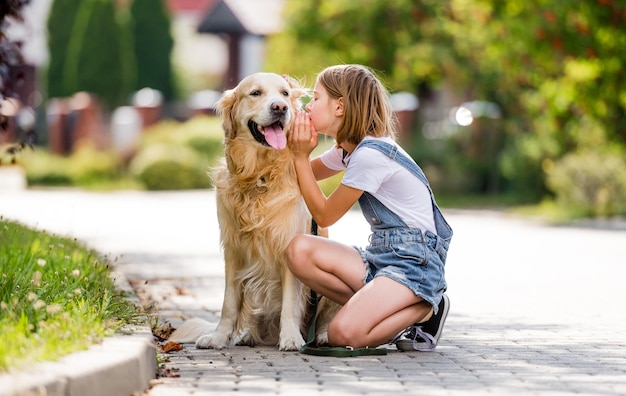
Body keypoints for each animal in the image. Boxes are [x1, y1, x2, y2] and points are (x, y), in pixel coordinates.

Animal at [169, 72, 336, 352]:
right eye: (256, 93)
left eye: (285, 94)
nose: (280, 108)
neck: (260, 177)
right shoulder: (233, 249)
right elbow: (228, 304)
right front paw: (218, 337)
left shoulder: (289, 244)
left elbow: (290, 302)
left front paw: (291, 338)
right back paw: (246, 335)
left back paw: (322, 336)